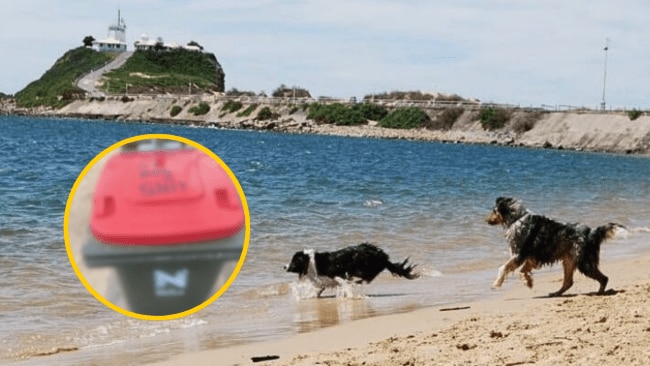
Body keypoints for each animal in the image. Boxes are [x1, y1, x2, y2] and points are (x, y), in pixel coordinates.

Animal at [282, 242, 416, 296]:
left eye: (293, 261)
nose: (284, 266)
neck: (310, 262)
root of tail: (382, 256)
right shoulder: (322, 281)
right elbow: (318, 290)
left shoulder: (336, 274)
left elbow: (342, 281)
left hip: (362, 267)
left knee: (367, 277)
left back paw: (356, 282)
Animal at [486, 197, 624, 298]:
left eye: (494, 210)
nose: (486, 220)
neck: (517, 218)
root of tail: (592, 232)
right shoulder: (531, 258)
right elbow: (523, 271)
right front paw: (528, 282)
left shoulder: (519, 254)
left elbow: (503, 268)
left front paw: (496, 283)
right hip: (569, 260)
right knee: (568, 282)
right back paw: (555, 293)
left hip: (584, 262)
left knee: (604, 278)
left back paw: (599, 293)